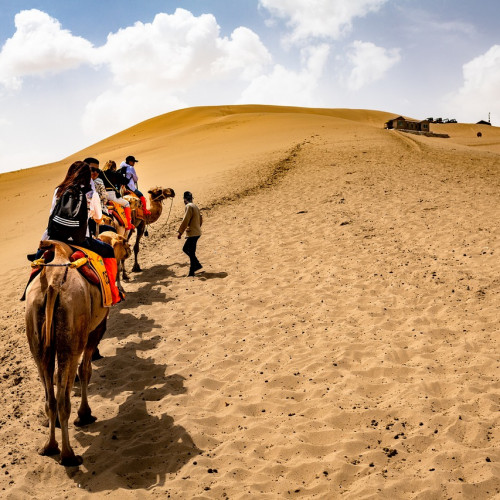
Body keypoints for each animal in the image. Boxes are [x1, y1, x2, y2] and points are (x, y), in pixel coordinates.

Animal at [25, 240, 109, 466]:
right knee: (63, 399)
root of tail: (53, 285)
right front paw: (85, 415)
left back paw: (49, 447)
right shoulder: (95, 330)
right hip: (71, 336)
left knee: (50, 398)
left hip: (36, 335)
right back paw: (69, 455)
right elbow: (86, 371)